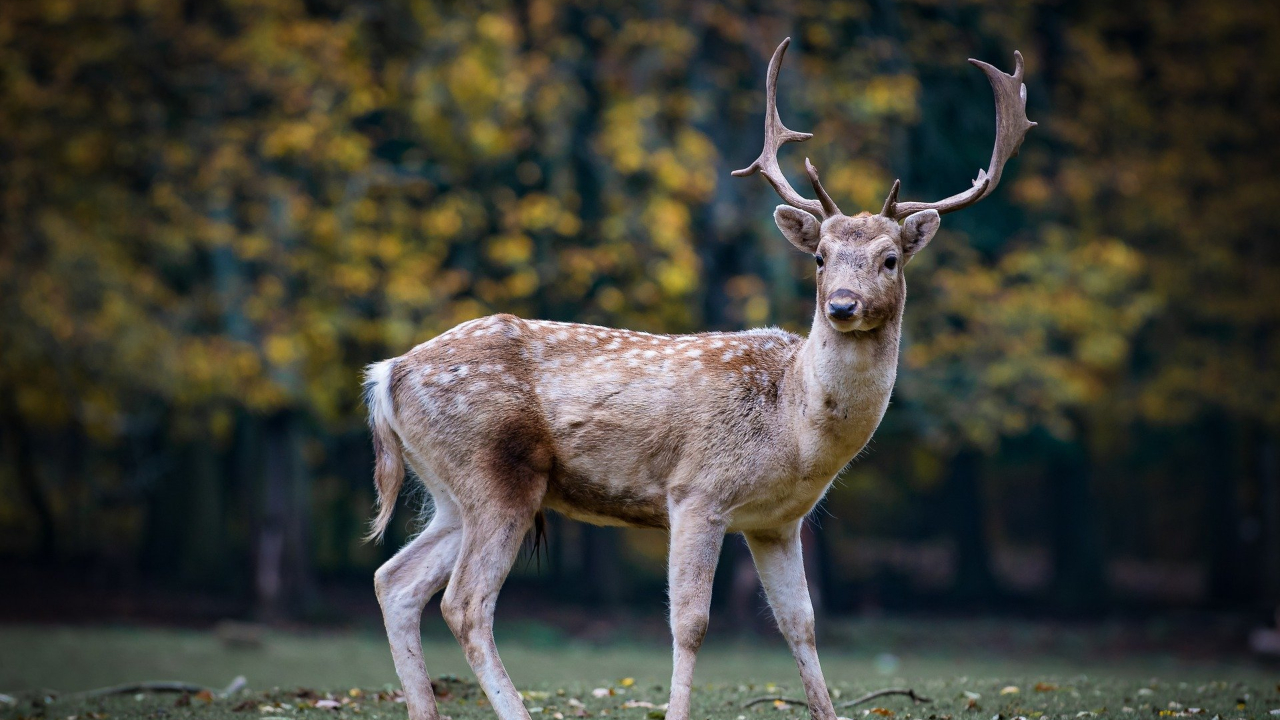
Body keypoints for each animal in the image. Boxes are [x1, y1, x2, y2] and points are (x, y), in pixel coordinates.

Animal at [365, 37, 1034, 720]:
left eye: (890, 259)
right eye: (820, 258)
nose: (842, 305)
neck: (793, 428)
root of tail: (387, 374)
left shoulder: (776, 521)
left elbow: (801, 623)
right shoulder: (696, 492)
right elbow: (690, 623)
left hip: (451, 490)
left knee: (394, 580)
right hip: (496, 472)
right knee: (465, 603)